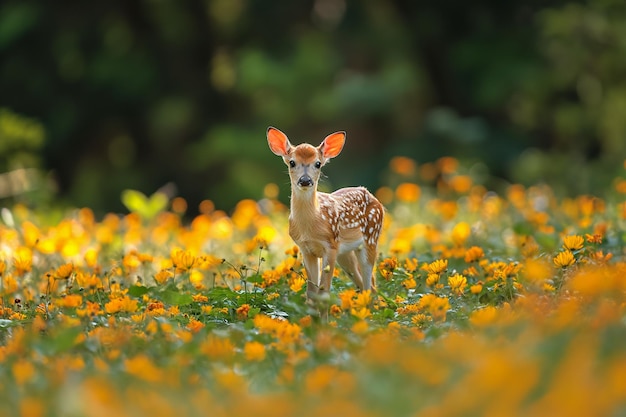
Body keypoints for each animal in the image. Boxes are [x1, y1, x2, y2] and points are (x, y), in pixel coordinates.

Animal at [266, 127, 382, 318]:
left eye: (318, 164)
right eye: (292, 162)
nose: (305, 180)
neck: (311, 223)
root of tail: (372, 196)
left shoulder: (330, 246)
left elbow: (324, 292)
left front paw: (325, 324)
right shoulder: (307, 250)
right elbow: (311, 294)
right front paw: (312, 322)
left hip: (371, 238)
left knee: (369, 286)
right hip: (345, 254)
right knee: (365, 284)